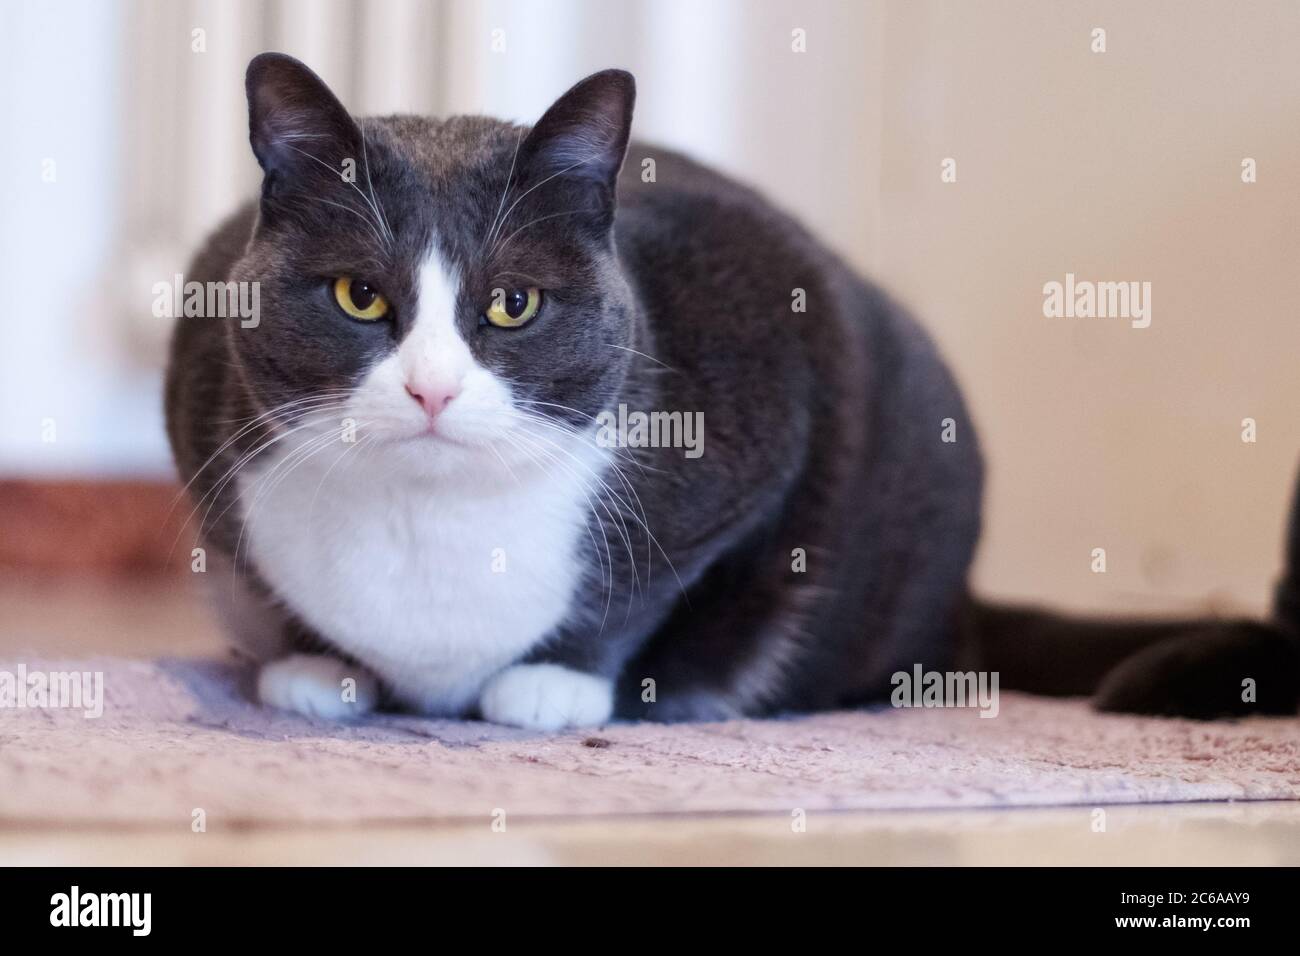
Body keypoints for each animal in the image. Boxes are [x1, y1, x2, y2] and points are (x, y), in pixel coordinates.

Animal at [165, 55, 1300, 728]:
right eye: (360, 296)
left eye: (513, 304)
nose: (433, 392)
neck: (427, 521)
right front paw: (316, 665)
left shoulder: (780, 364)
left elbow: (647, 587)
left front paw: (555, 682)